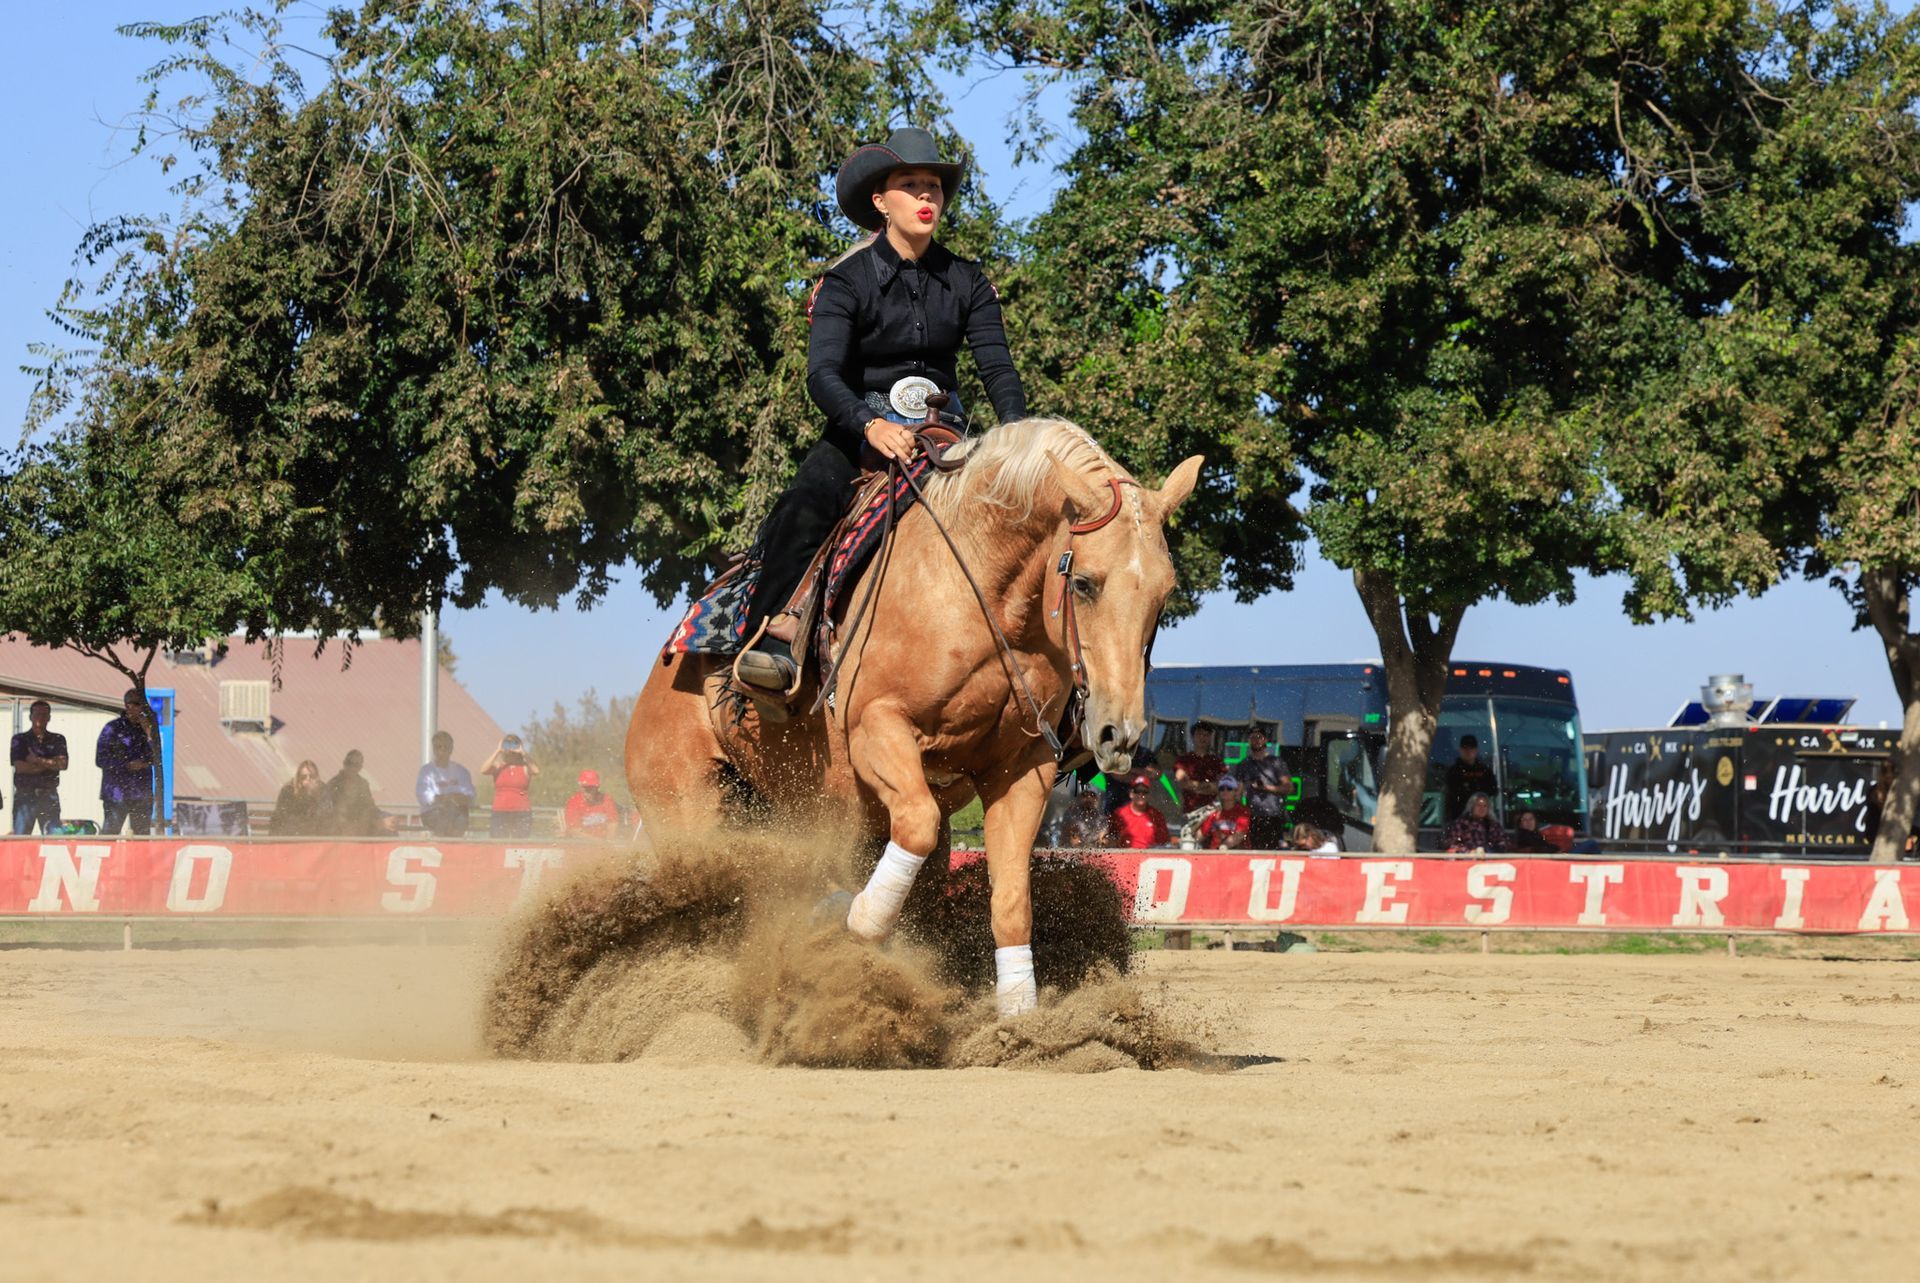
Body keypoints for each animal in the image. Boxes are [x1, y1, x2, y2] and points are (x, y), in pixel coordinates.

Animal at [625, 417, 1202, 1016]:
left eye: (1164, 593)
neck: (980, 595)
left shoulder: (1023, 766)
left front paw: (1019, 1013)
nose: (1118, 734)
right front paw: (857, 917)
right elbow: (913, 827)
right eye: (1084, 582)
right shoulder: (874, 734)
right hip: (690, 806)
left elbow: (1011, 898)